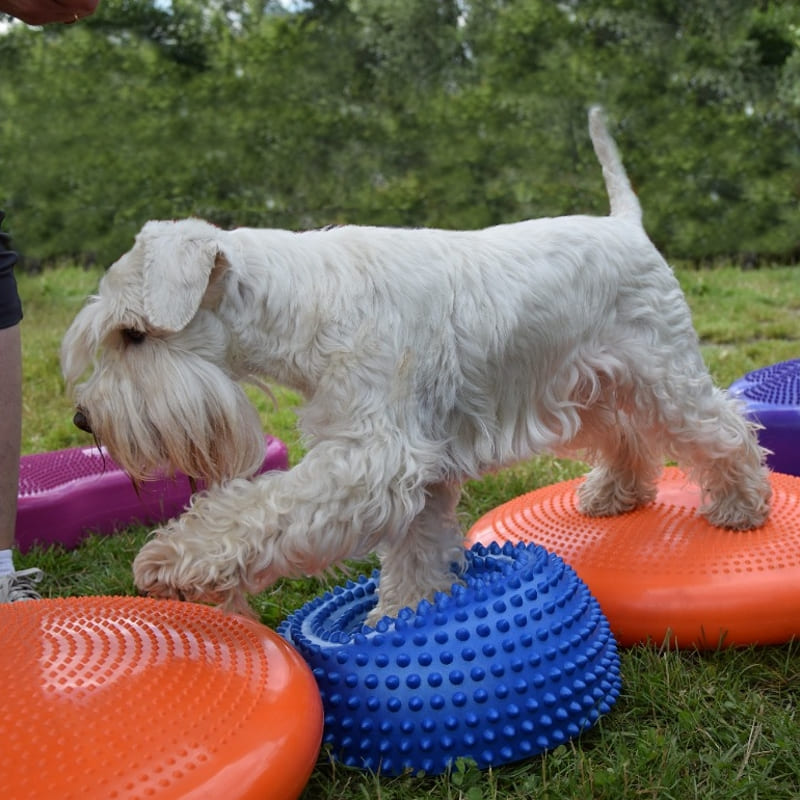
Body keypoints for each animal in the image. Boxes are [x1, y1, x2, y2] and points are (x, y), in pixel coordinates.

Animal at [61, 106, 768, 620]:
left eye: (132, 334)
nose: (83, 420)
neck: (304, 304)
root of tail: (627, 225)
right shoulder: (418, 468)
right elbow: (416, 553)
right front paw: (400, 618)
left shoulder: (372, 460)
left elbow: (263, 508)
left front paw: (171, 559)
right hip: (588, 389)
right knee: (627, 437)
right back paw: (615, 494)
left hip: (664, 377)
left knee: (723, 430)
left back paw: (743, 508)